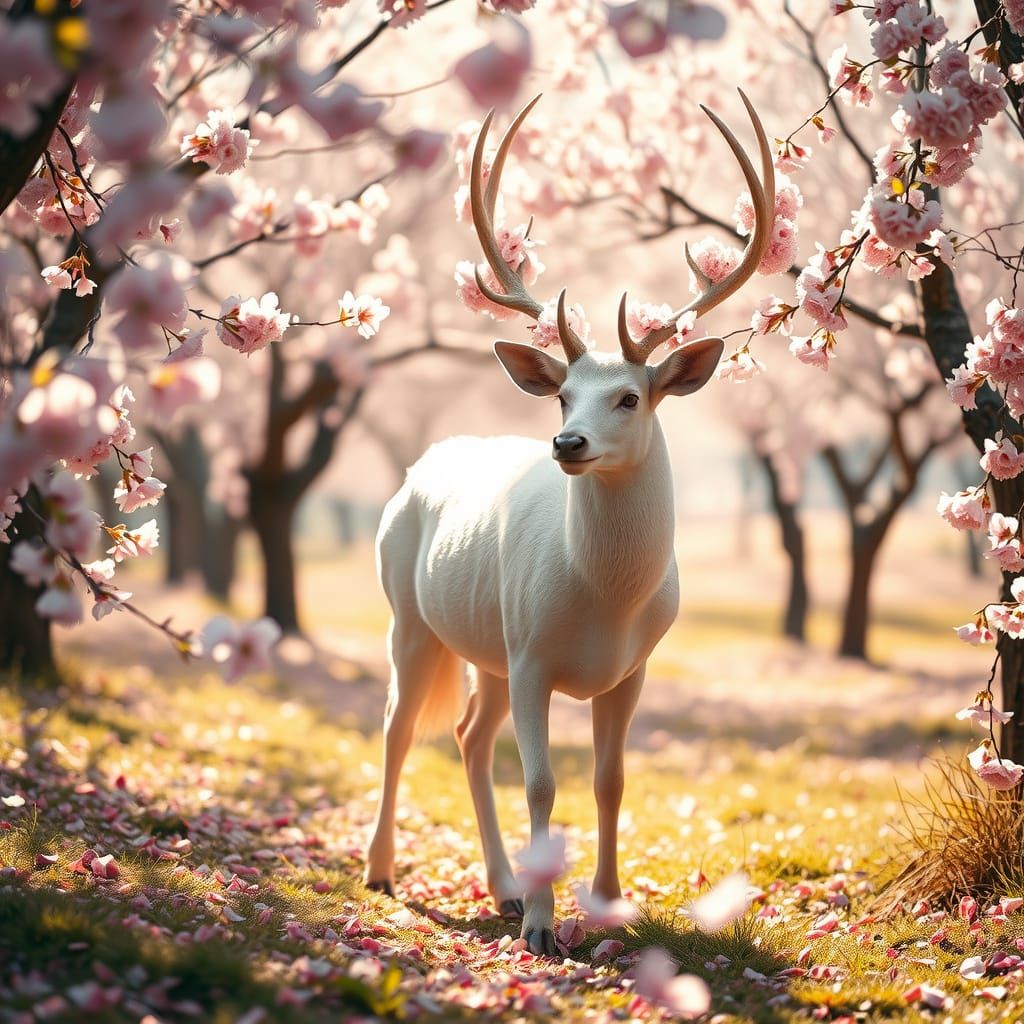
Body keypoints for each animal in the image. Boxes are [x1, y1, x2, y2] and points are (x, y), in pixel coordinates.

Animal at [364, 91, 773, 955]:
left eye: (629, 397)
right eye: (560, 396)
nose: (567, 442)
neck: (603, 598)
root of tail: (420, 466)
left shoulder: (633, 666)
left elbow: (610, 780)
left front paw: (609, 902)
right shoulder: (532, 655)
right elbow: (543, 781)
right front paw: (545, 928)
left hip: (484, 642)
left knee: (468, 737)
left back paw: (501, 885)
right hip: (407, 611)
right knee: (397, 726)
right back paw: (384, 870)